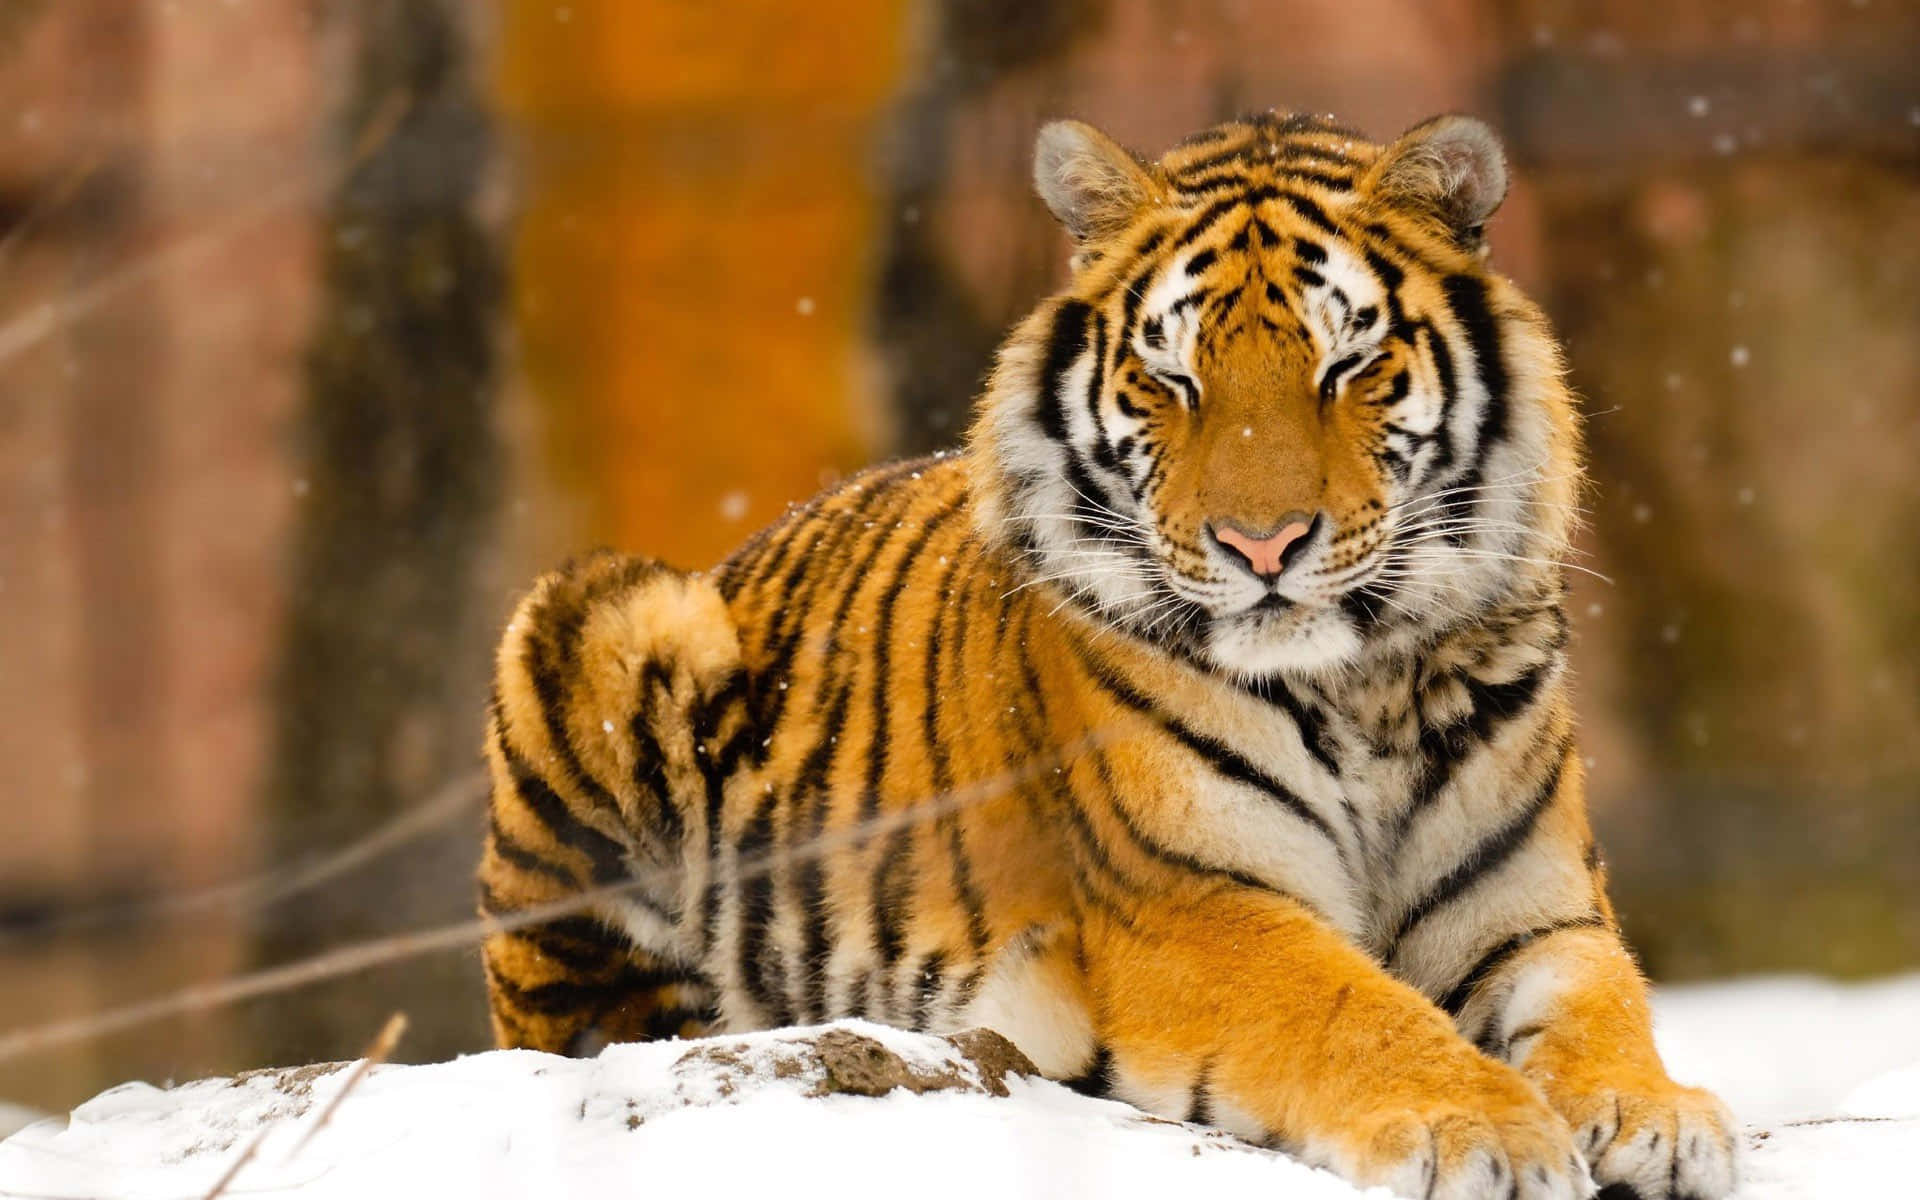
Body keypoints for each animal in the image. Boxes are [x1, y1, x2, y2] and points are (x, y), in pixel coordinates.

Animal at [477, 111, 1737, 1199]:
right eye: (1173, 378)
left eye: (1347, 368)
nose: (1262, 545)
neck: (1364, 682)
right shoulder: (1193, 905)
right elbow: (1355, 1011)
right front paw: (1481, 1129)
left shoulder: (1537, 913)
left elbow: (1607, 1003)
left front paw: (1656, 1115)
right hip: (603, 624)